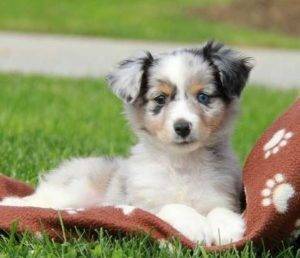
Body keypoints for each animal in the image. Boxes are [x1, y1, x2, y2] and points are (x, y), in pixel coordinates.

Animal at [0, 40, 253, 246]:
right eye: (160, 99)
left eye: (203, 97)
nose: (182, 127)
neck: (182, 162)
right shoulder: (145, 204)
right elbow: (174, 206)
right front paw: (197, 225)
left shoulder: (220, 194)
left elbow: (220, 210)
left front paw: (225, 228)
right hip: (73, 189)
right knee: (41, 199)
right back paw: (13, 202)